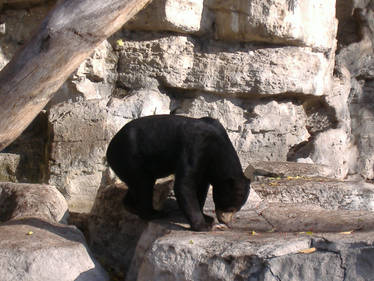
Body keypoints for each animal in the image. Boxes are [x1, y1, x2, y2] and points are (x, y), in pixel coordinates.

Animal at [106, 114, 251, 230]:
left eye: (237, 209)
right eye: (231, 208)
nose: (227, 222)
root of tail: (110, 147)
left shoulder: (206, 165)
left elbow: (201, 186)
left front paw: (206, 216)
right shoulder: (197, 146)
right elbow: (185, 184)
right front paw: (204, 225)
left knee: (137, 184)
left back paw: (131, 206)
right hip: (129, 157)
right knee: (144, 184)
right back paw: (154, 213)